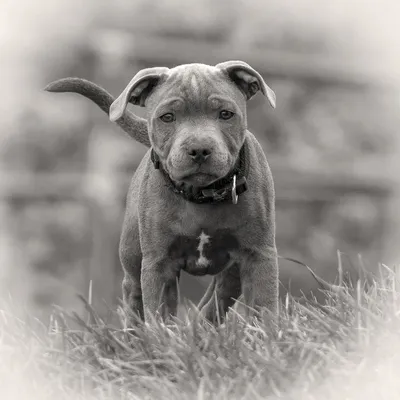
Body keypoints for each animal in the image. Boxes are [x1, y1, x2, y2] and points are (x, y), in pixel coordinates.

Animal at [45, 61, 280, 324]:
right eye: (167, 117)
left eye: (226, 114)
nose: (199, 149)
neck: (201, 195)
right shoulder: (159, 264)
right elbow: (159, 313)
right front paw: (162, 334)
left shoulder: (258, 255)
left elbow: (263, 307)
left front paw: (269, 332)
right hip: (133, 255)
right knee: (134, 293)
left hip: (233, 270)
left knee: (217, 298)